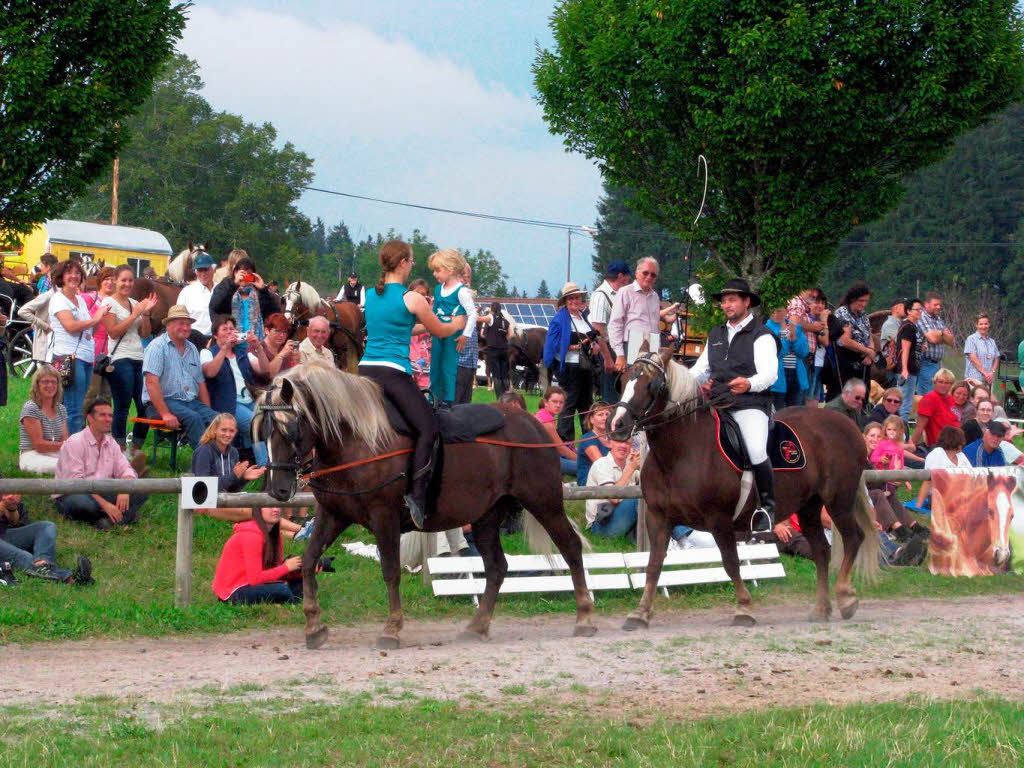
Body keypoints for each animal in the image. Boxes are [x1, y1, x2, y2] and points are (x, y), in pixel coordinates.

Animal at [251, 364, 598, 651]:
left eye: (290, 429)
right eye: (262, 432)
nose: (278, 489)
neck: (356, 442)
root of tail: (534, 426)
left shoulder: (385, 518)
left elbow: (390, 570)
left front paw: (391, 629)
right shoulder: (333, 515)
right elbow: (309, 560)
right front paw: (314, 626)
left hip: (544, 502)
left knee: (570, 548)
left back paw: (584, 617)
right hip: (486, 518)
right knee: (497, 567)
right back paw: (477, 626)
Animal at [606, 348, 880, 630]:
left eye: (651, 385)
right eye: (622, 381)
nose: (616, 426)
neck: (679, 454)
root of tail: (846, 423)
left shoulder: (719, 519)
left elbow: (730, 563)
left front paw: (744, 608)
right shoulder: (659, 518)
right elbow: (653, 564)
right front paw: (640, 613)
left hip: (839, 500)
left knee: (853, 538)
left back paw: (846, 597)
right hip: (809, 507)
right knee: (822, 550)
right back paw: (821, 608)